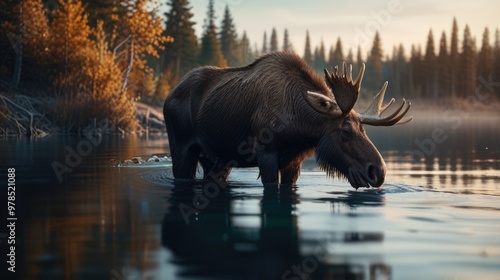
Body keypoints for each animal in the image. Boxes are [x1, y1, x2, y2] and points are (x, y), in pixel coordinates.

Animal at [164, 51, 410, 189]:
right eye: (345, 130)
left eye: (364, 129)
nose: (378, 171)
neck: (299, 126)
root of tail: (168, 96)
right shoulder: (266, 154)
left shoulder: (294, 161)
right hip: (182, 150)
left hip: (216, 159)